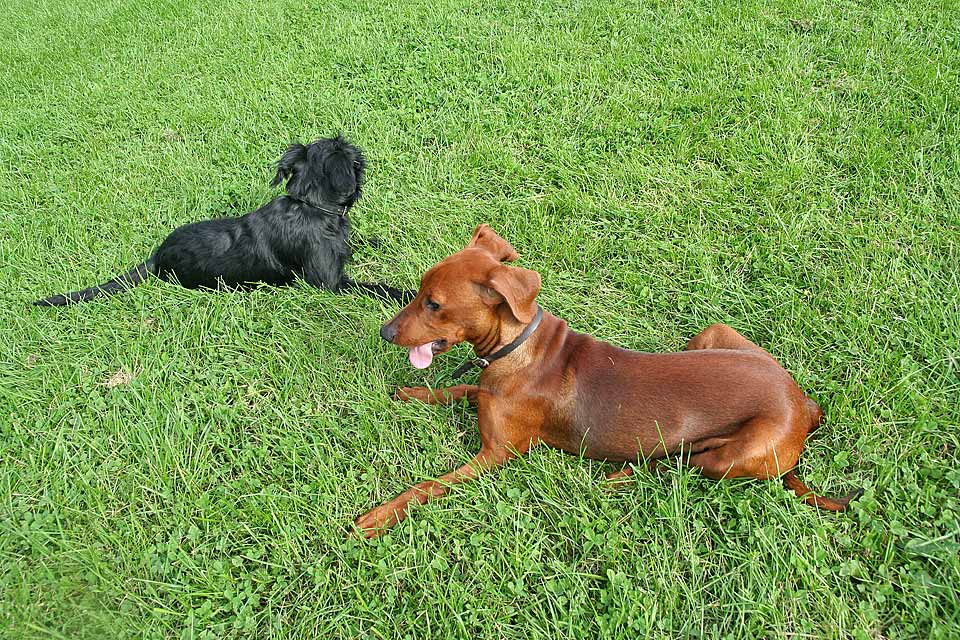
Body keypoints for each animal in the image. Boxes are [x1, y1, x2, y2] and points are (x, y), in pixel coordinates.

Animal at [33, 136, 412, 306]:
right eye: (344, 148)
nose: (358, 151)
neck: (311, 205)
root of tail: (156, 256)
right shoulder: (330, 284)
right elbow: (372, 286)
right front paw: (402, 293)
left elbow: (353, 242)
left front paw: (374, 240)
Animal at [354, 224, 862, 537]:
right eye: (419, 293)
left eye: (433, 304)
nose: (384, 332)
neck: (518, 350)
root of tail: (805, 404)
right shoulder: (482, 391)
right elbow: (460, 388)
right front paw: (414, 392)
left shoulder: (495, 455)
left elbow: (426, 486)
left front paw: (377, 517)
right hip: (713, 336)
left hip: (733, 456)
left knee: (679, 464)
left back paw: (620, 475)